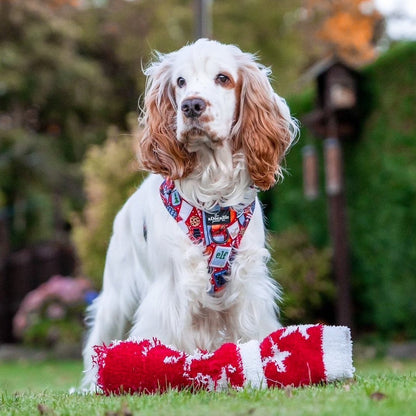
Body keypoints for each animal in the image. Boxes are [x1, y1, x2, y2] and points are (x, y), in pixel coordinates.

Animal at [81, 38, 298, 390]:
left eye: (223, 78)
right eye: (180, 82)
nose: (192, 106)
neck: (213, 198)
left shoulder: (247, 286)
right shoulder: (170, 288)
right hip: (116, 298)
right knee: (98, 340)